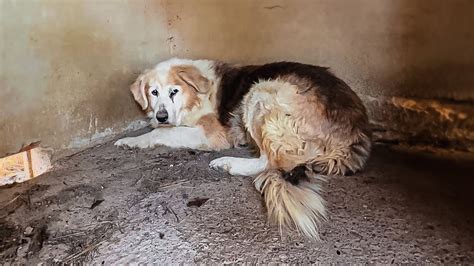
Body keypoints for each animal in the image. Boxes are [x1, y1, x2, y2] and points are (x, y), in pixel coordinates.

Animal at [115, 57, 370, 238]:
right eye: (153, 92)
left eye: (173, 91)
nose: (161, 116)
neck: (195, 97)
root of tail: (355, 131)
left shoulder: (212, 134)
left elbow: (163, 132)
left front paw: (133, 141)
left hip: (261, 92)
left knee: (271, 161)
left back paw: (229, 163)